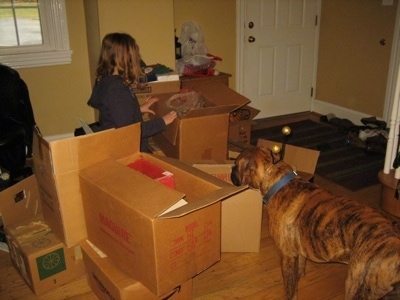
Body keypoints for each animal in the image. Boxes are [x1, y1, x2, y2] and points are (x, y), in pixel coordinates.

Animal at [230, 147, 400, 300]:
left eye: (236, 165)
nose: (231, 171)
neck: (277, 183)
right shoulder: (298, 252)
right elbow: (298, 270)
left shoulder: (287, 255)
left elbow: (290, 289)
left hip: (356, 286)